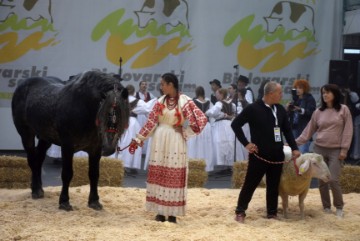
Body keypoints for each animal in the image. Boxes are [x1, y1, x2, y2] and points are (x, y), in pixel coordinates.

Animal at [11, 70, 129, 211]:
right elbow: (67, 174)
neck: (84, 109)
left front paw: (94, 201)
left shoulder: (95, 150)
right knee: (32, 160)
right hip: (26, 134)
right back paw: (35, 190)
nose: (109, 147)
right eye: (103, 112)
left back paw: (39, 189)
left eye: (122, 114)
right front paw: (64, 202)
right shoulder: (67, 147)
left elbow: (94, 174)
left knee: (38, 159)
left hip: (46, 138)